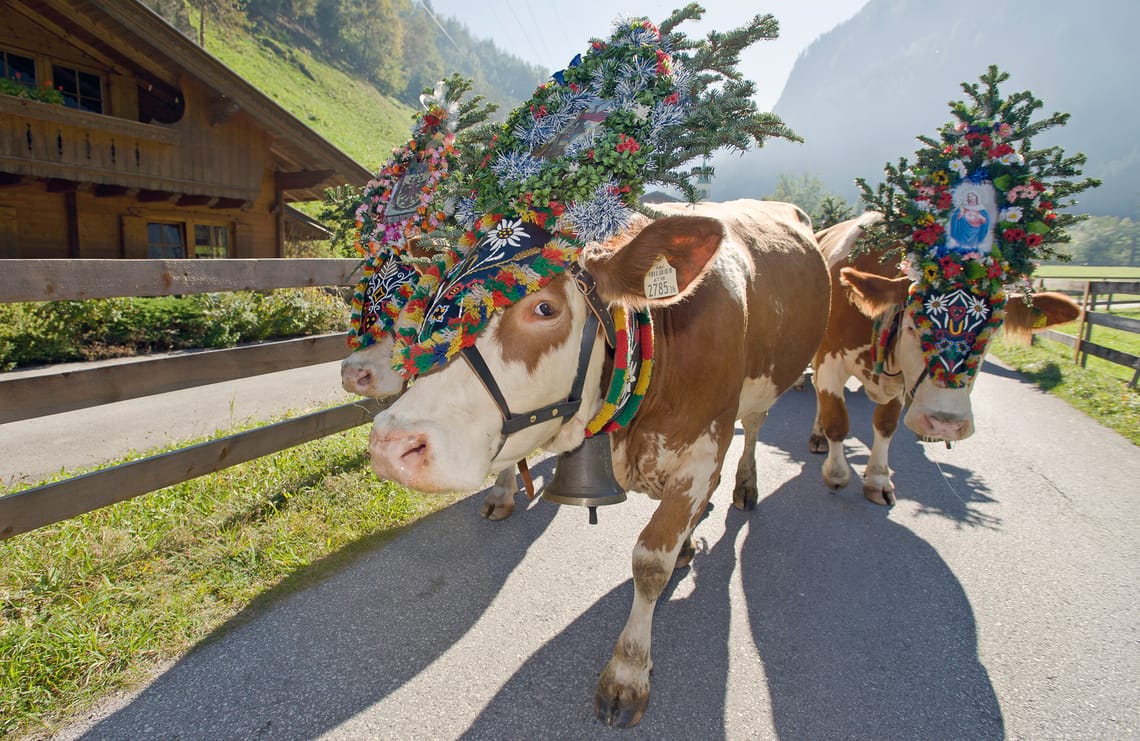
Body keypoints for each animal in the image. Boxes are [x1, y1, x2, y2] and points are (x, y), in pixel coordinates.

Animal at [366, 198, 831, 727]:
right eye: (432, 303)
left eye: (545, 308)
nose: (390, 444)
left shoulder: (702, 453)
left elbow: (650, 562)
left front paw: (627, 674)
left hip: (761, 394)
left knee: (752, 430)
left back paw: (745, 487)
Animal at [809, 211, 1081, 505]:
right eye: (912, 327)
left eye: (990, 334)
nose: (945, 425)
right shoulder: (829, 361)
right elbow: (837, 419)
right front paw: (836, 474)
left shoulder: (901, 382)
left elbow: (885, 425)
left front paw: (879, 480)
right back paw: (818, 436)